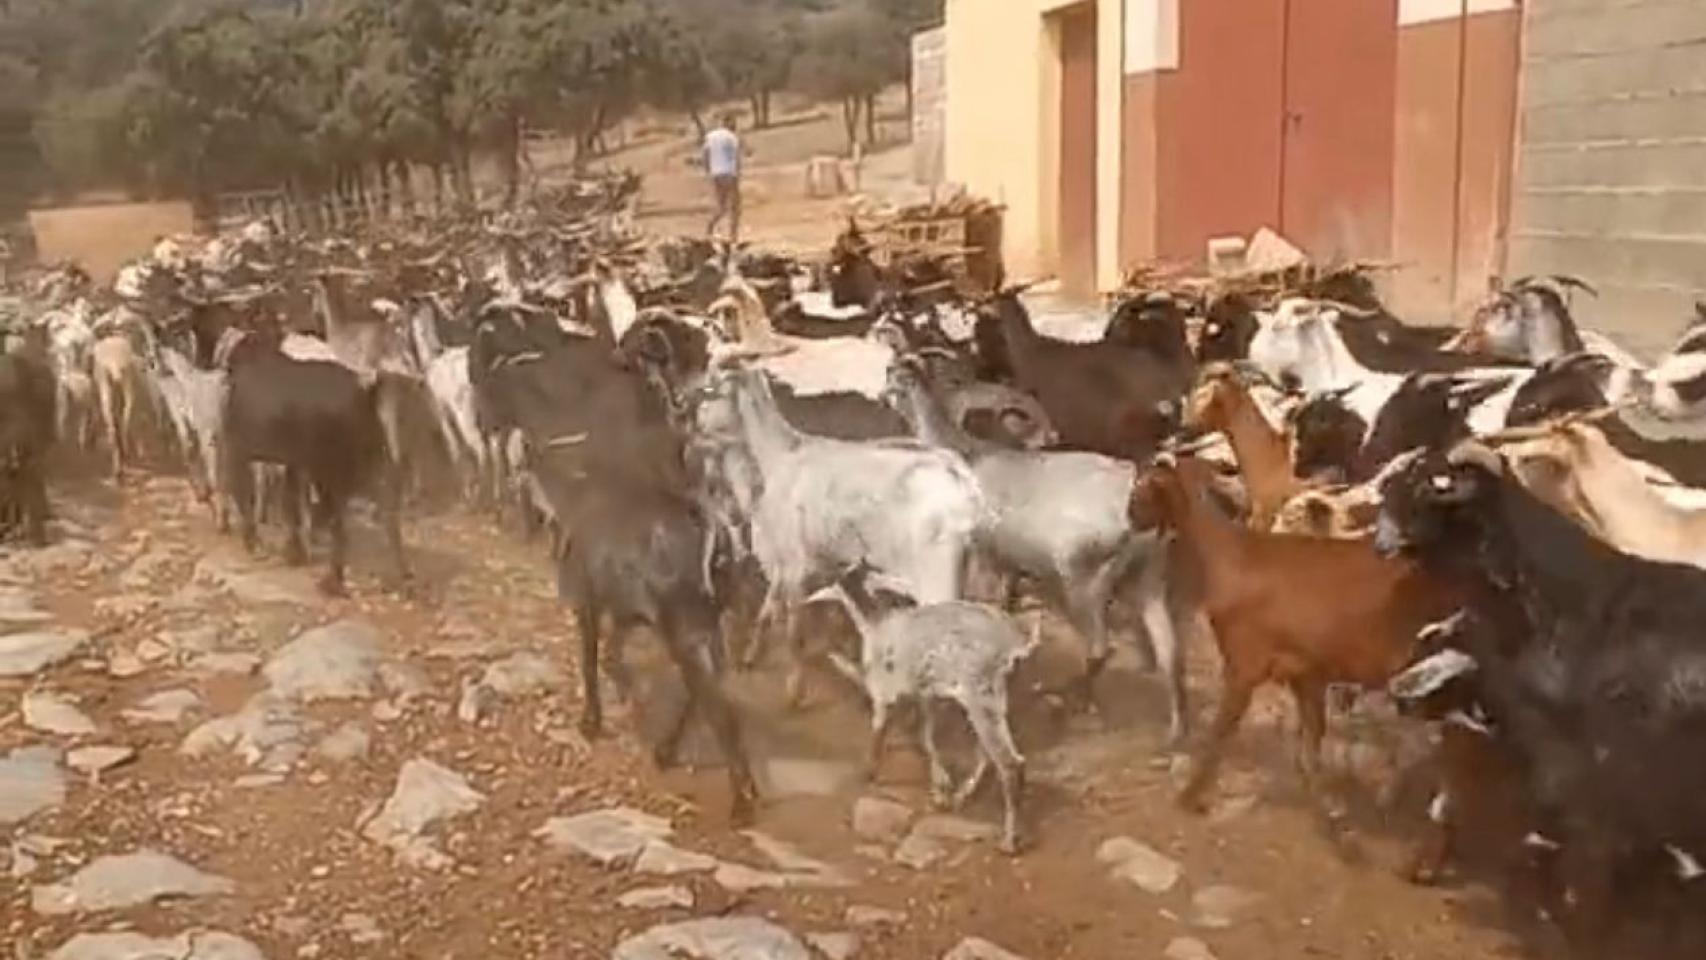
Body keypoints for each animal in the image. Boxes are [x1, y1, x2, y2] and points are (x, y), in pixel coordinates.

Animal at [1125, 453, 1460, 821]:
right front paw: (1328, 804)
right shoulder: (1306, 674)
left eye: (1143, 485)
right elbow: (1310, 745)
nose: (1129, 515)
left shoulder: (1245, 666)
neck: (1233, 559)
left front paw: (1190, 796)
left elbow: (1221, 729)